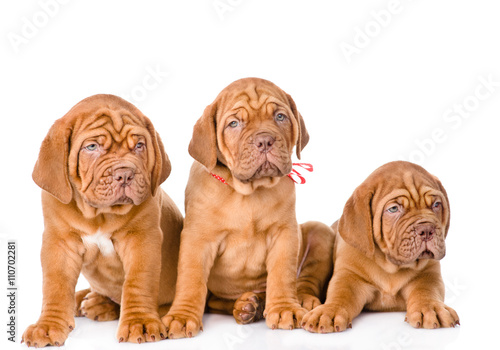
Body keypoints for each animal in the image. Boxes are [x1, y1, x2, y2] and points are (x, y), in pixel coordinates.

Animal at [21, 94, 183, 346]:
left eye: (139, 145)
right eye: (92, 147)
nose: (125, 174)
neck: (100, 214)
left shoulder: (142, 240)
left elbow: (137, 282)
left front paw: (140, 323)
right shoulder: (59, 243)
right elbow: (55, 286)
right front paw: (47, 326)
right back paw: (87, 299)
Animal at [164, 78, 334, 338]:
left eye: (280, 117)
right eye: (234, 123)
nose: (264, 140)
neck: (248, 193)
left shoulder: (285, 234)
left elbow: (282, 275)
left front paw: (285, 308)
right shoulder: (197, 240)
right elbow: (191, 280)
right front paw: (182, 316)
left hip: (320, 232)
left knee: (304, 280)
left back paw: (299, 301)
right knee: (215, 300)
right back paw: (247, 306)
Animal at [300, 161, 460, 334]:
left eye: (436, 204)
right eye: (393, 209)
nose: (427, 230)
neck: (390, 266)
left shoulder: (428, 275)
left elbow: (426, 291)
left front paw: (431, 308)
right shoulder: (348, 276)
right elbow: (340, 294)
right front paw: (329, 311)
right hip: (320, 237)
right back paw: (305, 300)